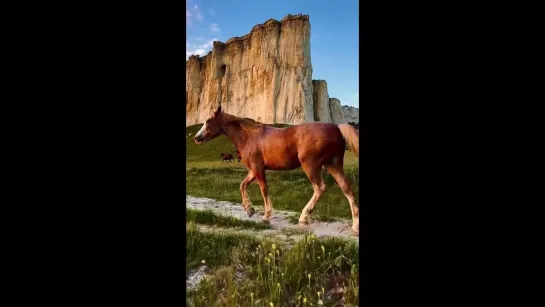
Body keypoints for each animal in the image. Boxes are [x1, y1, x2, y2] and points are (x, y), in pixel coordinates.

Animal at [193, 106, 360, 236]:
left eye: (208, 120)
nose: (196, 137)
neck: (249, 136)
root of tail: (337, 128)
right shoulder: (253, 170)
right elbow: (242, 185)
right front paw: (249, 209)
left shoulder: (258, 168)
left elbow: (264, 189)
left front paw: (266, 216)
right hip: (333, 165)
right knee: (346, 189)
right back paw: (355, 226)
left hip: (311, 166)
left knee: (320, 188)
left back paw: (304, 217)